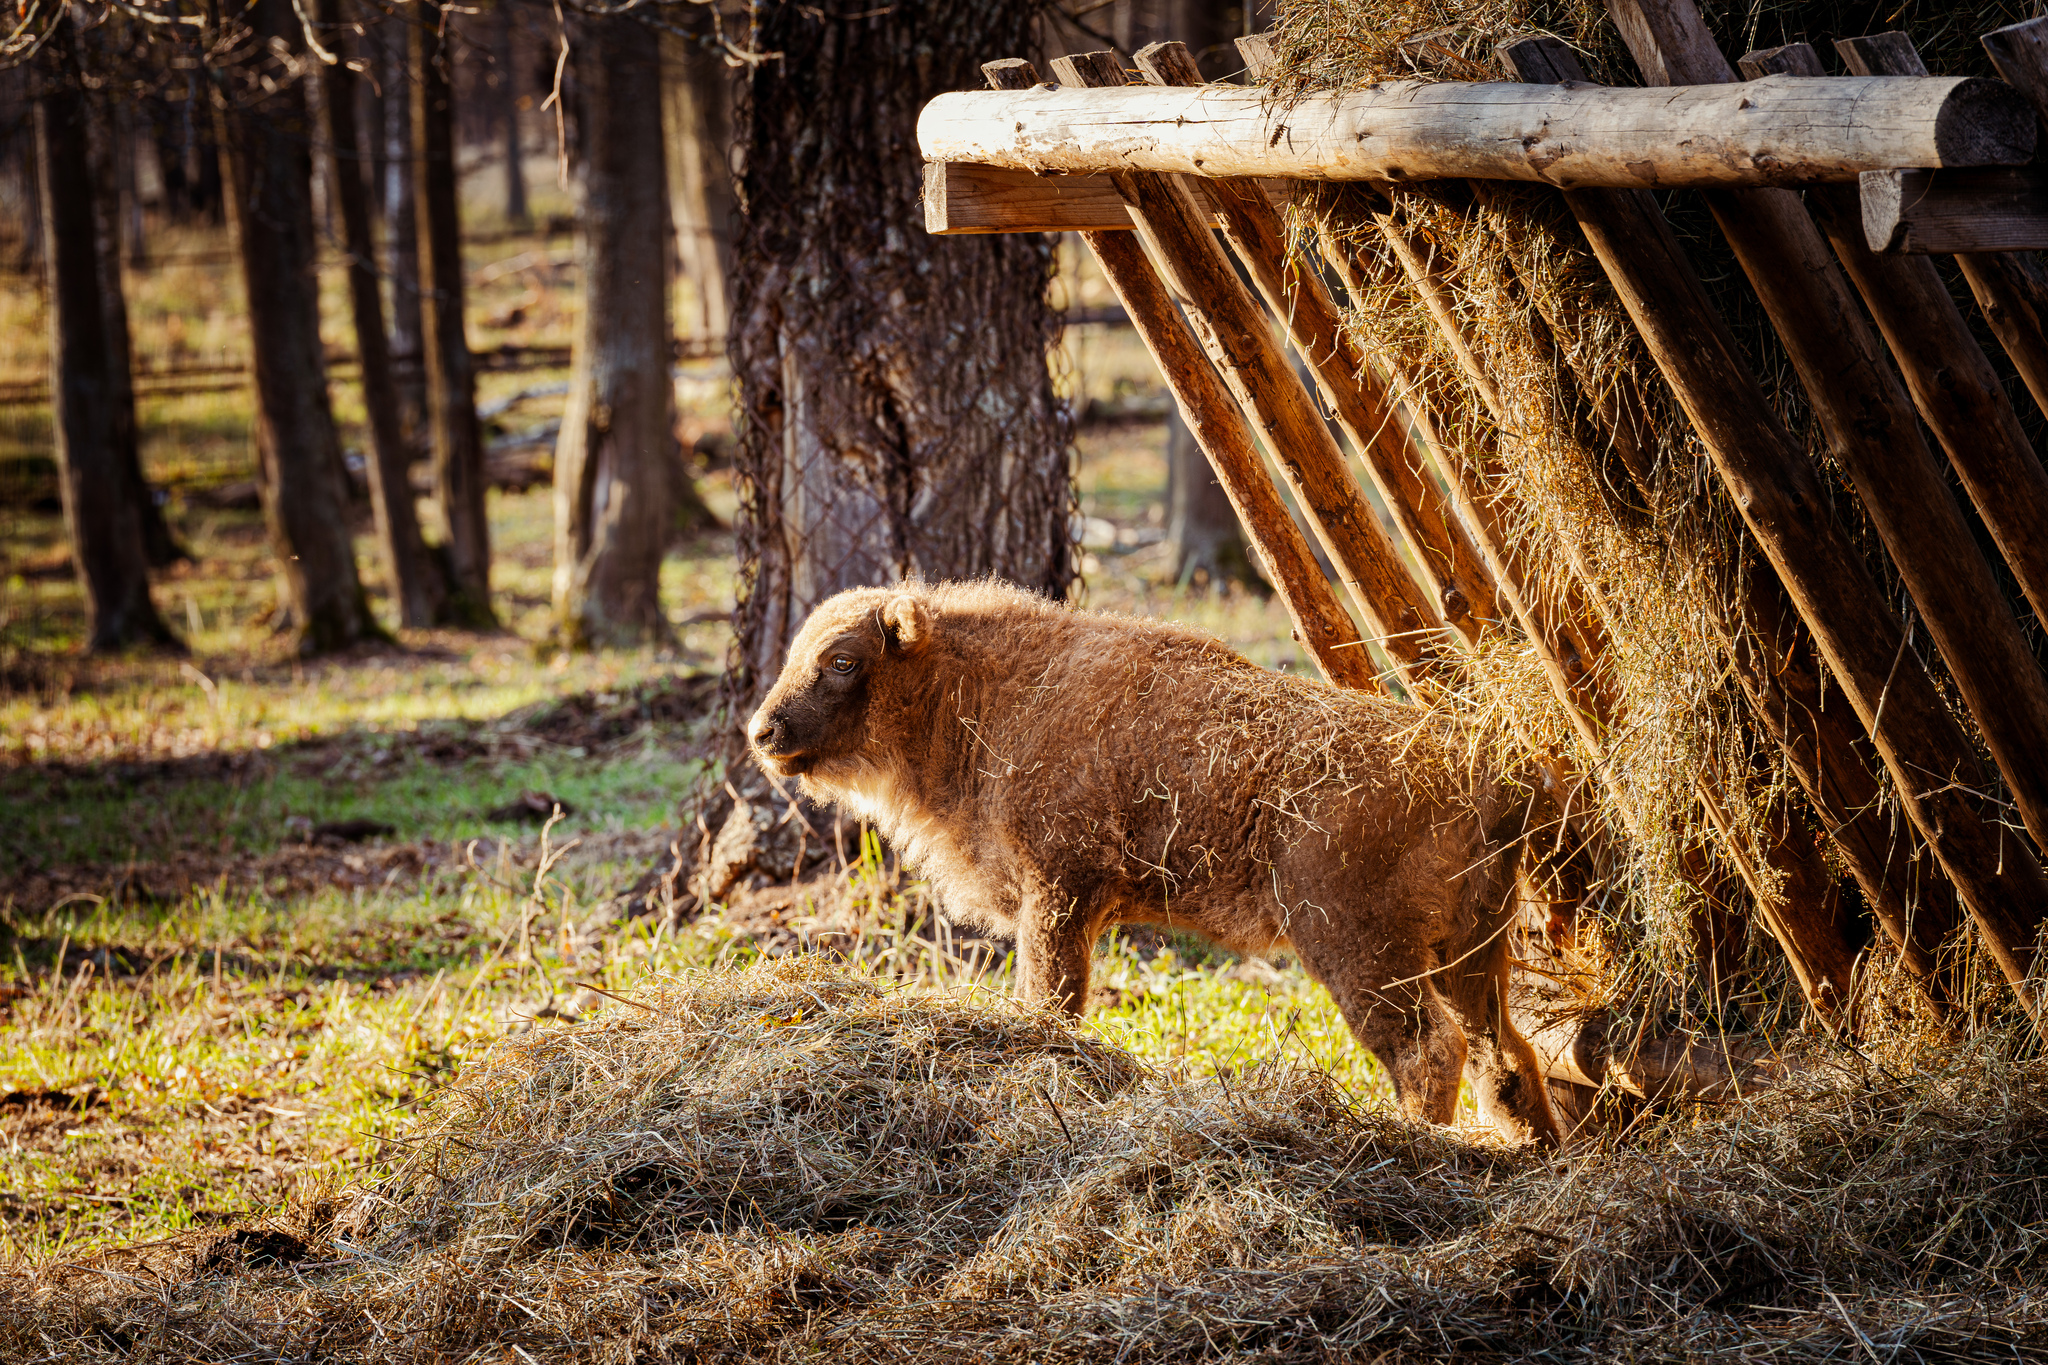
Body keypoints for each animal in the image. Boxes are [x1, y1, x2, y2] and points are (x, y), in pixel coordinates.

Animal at [753, 577, 1564, 1146]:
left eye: (842, 660)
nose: (763, 731)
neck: (984, 688)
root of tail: (1489, 770)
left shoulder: (1058, 895)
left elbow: (1051, 998)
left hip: (1358, 949)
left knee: (1429, 1047)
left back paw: (1416, 1141)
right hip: (1470, 953)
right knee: (1505, 1054)